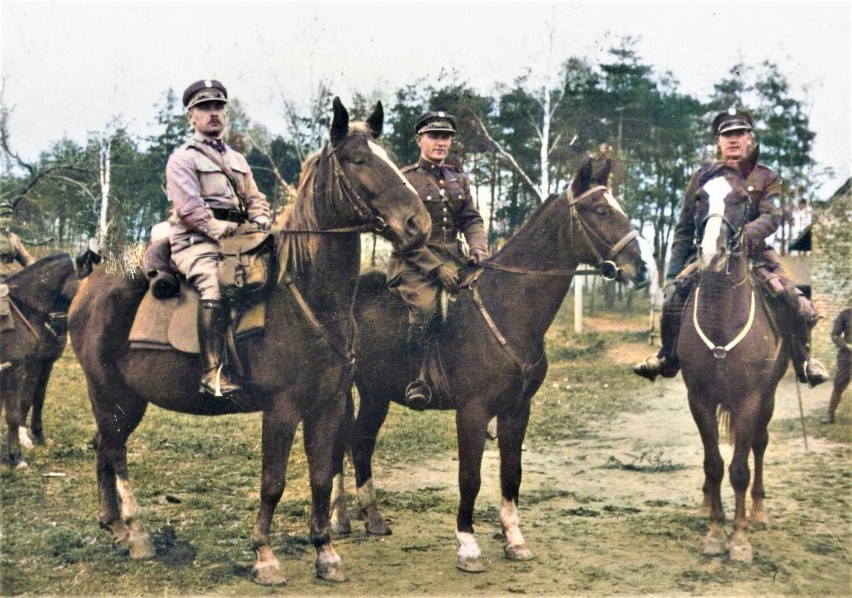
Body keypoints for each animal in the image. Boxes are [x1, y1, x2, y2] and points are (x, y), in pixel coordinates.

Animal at [1, 250, 100, 468]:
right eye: (86, 281)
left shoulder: (45, 363)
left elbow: (38, 398)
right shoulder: (17, 369)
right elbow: (15, 412)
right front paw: (17, 456)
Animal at [67, 98, 430, 584]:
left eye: (387, 155)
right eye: (358, 160)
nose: (418, 224)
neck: (305, 297)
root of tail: (91, 282)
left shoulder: (329, 405)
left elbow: (321, 476)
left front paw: (326, 552)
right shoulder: (281, 409)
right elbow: (272, 483)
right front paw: (264, 556)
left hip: (124, 398)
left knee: (104, 447)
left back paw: (117, 530)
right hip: (110, 393)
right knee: (116, 452)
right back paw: (137, 533)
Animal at [330, 158, 648, 572]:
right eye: (601, 210)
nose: (641, 270)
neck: (508, 309)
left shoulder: (517, 410)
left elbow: (511, 475)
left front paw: (514, 539)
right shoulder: (473, 411)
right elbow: (471, 477)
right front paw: (468, 545)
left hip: (375, 393)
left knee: (360, 442)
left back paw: (370, 517)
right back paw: (337, 519)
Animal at [676, 163, 788, 564]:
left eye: (741, 199)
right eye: (698, 197)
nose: (712, 251)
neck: (722, 317)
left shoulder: (749, 400)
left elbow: (740, 468)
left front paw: (739, 539)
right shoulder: (700, 399)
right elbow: (714, 464)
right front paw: (714, 532)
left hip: (769, 397)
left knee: (759, 443)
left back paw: (758, 511)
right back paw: (706, 503)